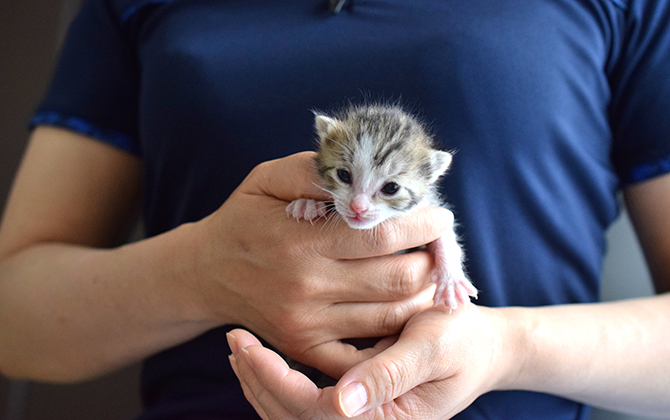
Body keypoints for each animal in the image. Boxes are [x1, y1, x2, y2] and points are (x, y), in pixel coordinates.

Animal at [288, 104, 478, 310]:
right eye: (343, 175)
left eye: (391, 188)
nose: (358, 207)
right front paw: (307, 204)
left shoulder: (429, 204)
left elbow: (445, 235)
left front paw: (451, 279)